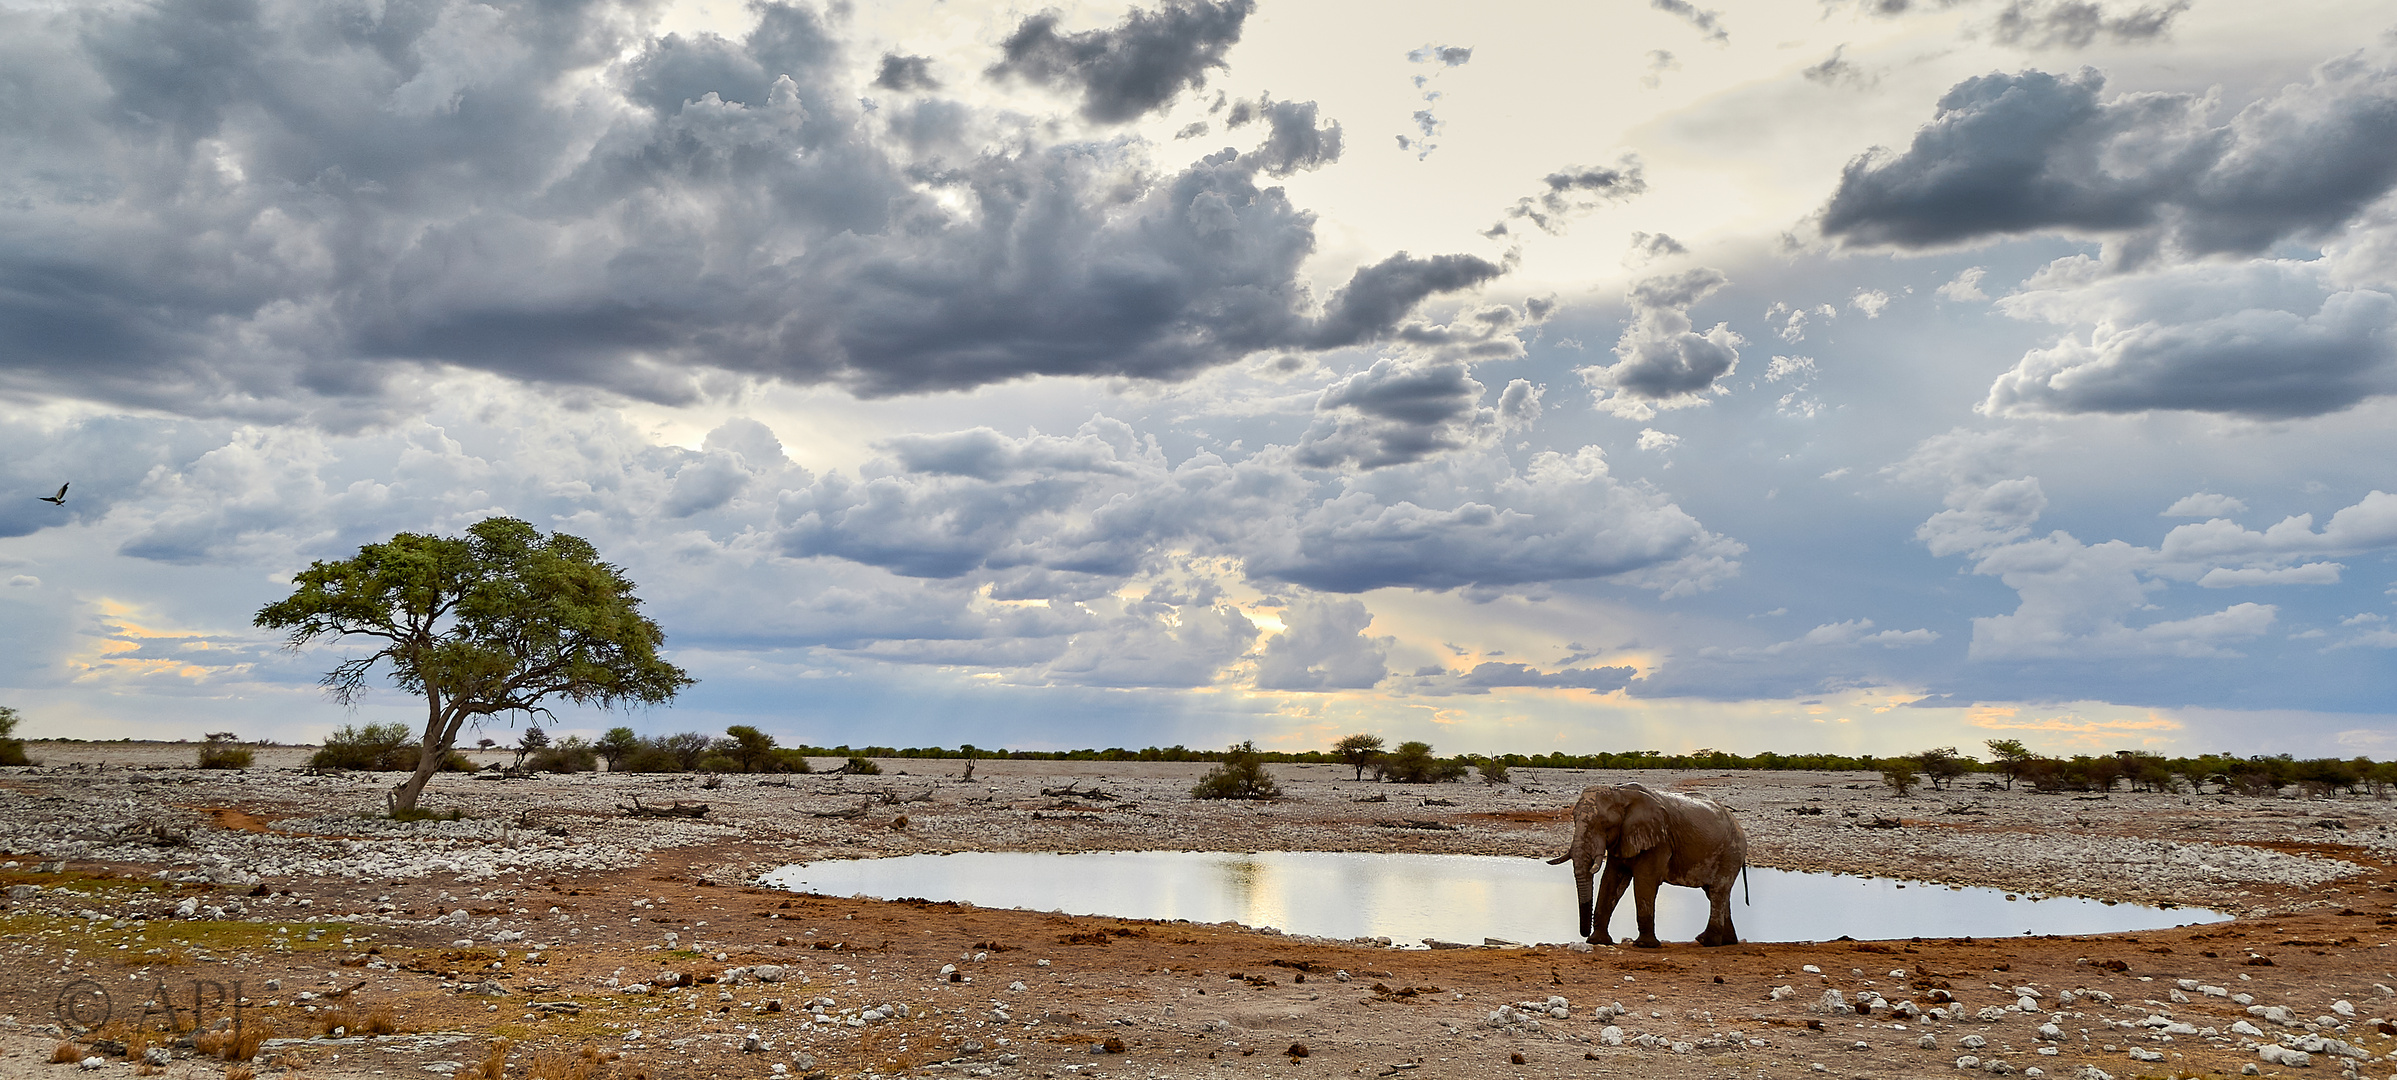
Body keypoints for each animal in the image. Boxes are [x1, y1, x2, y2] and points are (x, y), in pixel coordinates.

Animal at [1553, 785, 1745, 948]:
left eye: (1604, 824)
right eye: (1574, 819)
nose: (1584, 934)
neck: (1620, 793)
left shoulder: (1659, 841)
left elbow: (1644, 880)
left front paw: (1645, 945)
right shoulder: (1623, 838)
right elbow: (1611, 880)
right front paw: (1598, 941)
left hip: (1731, 853)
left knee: (1717, 891)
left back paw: (1707, 941)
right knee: (1715, 893)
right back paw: (1727, 941)